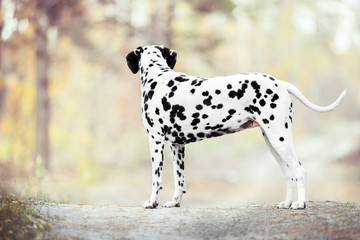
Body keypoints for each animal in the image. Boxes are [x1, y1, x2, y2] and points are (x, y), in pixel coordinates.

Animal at [126, 45, 346, 210]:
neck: (158, 78)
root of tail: (280, 83)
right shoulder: (177, 146)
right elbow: (180, 180)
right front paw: (174, 202)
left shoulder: (155, 140)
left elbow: (156, 178)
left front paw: (152, 202)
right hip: (273, 143)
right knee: (289, 173)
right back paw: (287, 202)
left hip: (280, 140)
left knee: (300, 171)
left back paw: (300, 204)